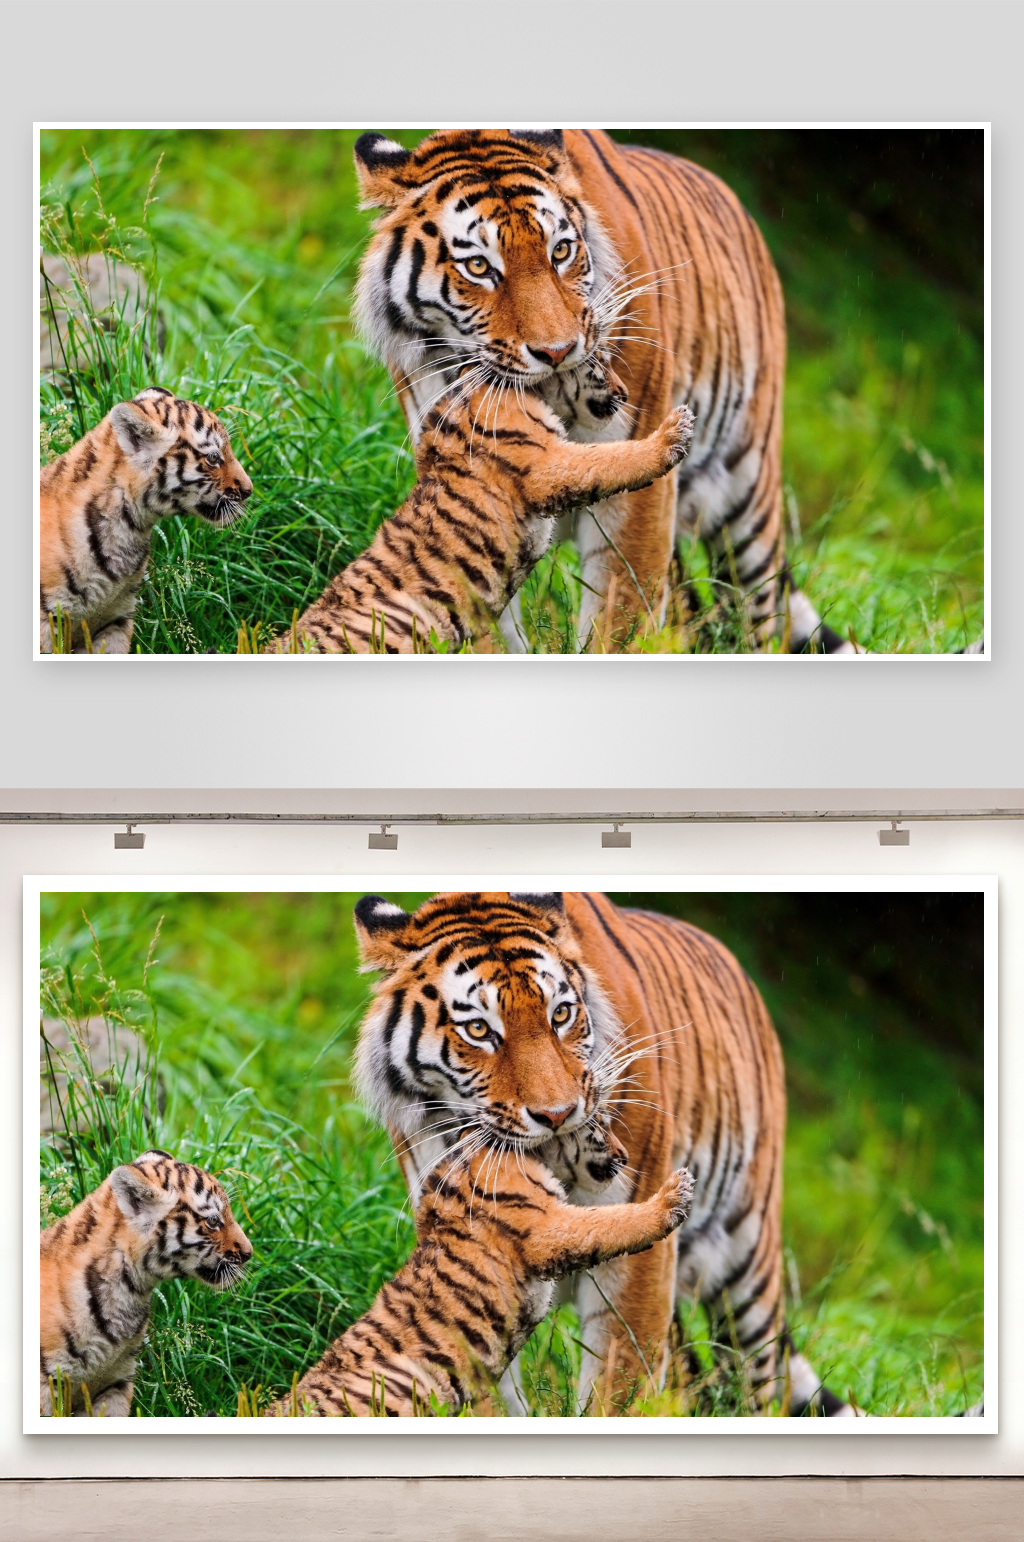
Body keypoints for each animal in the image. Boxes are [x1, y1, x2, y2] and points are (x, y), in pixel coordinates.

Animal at [269, 1123, 692, 1416]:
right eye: (600, 1123)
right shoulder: (547, 1227)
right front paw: (674, 1196)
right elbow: (611, 1222)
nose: (625, 1155)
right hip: (406, 1382)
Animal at [351, 890, 857, 1418]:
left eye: (559, 1015)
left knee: (758, 1379)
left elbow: (621, 1383)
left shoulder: (637, 1254)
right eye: (478, 1029)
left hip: (749, 1263)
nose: (556, 1114)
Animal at [352, 127, 848, 653]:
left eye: (560, 252)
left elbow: (622, 617)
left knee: (760, 614)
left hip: (748, 501)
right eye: (480, 267)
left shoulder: (637, 491)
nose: (556, 351)